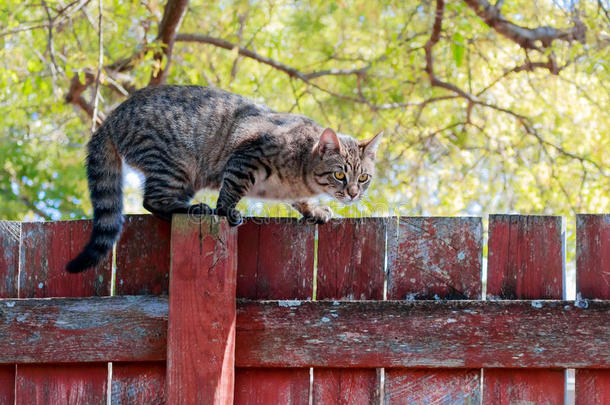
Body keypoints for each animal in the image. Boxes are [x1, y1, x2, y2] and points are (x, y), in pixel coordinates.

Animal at [66, 86, 380, 274]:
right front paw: (227, 210)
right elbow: (231, 190)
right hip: (175, 163)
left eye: (364, 177)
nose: (354, 193)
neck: (301, 173)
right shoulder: (245, 158)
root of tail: (110, 119)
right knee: (152, 200)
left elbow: (300, 201)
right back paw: (193, 209)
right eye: (339, 174)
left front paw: (314, 210)